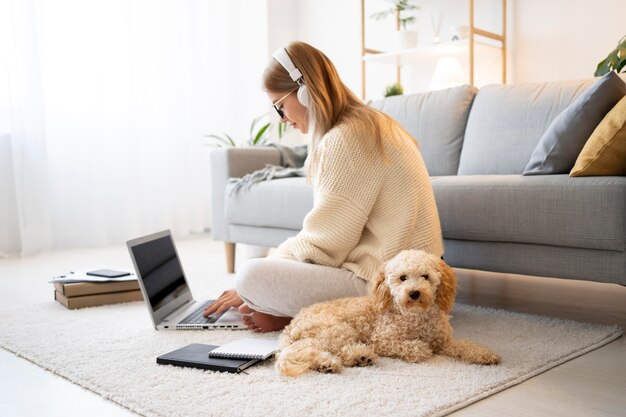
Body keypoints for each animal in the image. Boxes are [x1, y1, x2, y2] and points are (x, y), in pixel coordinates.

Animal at [276, 249, 500, 376]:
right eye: (403, 277)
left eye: (425, 276)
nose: (414, 293)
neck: (415, 316)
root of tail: (292, 324)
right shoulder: (383, 340)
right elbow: (412, 347)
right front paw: (420, 348)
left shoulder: (444, 341)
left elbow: (465, 346)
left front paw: (485, 354)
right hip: (336, 329)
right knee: (321, 351)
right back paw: (339, 361)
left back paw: (347, 360)